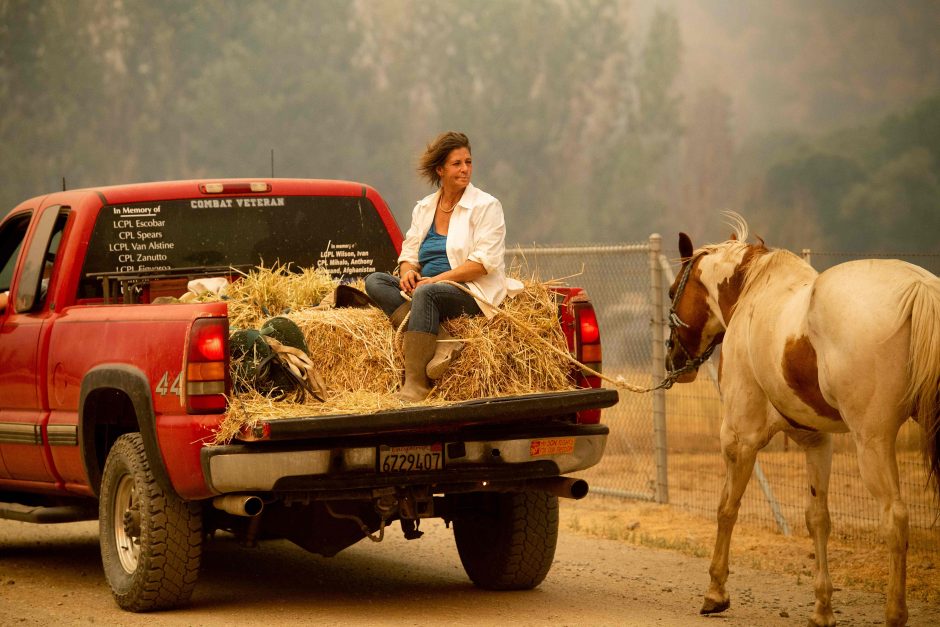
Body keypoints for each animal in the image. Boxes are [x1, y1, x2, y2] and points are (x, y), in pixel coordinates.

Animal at [664, 216, 936, 627]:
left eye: (671, 292)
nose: (672, 361)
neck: (753, 293)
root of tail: (918, 289)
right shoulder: (817, 442)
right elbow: (817, 518)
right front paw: (822, 609)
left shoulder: (739, 438)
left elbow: (728, 507)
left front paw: (715, 592)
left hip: (872, 442)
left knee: (896, 518)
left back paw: (895, 613)